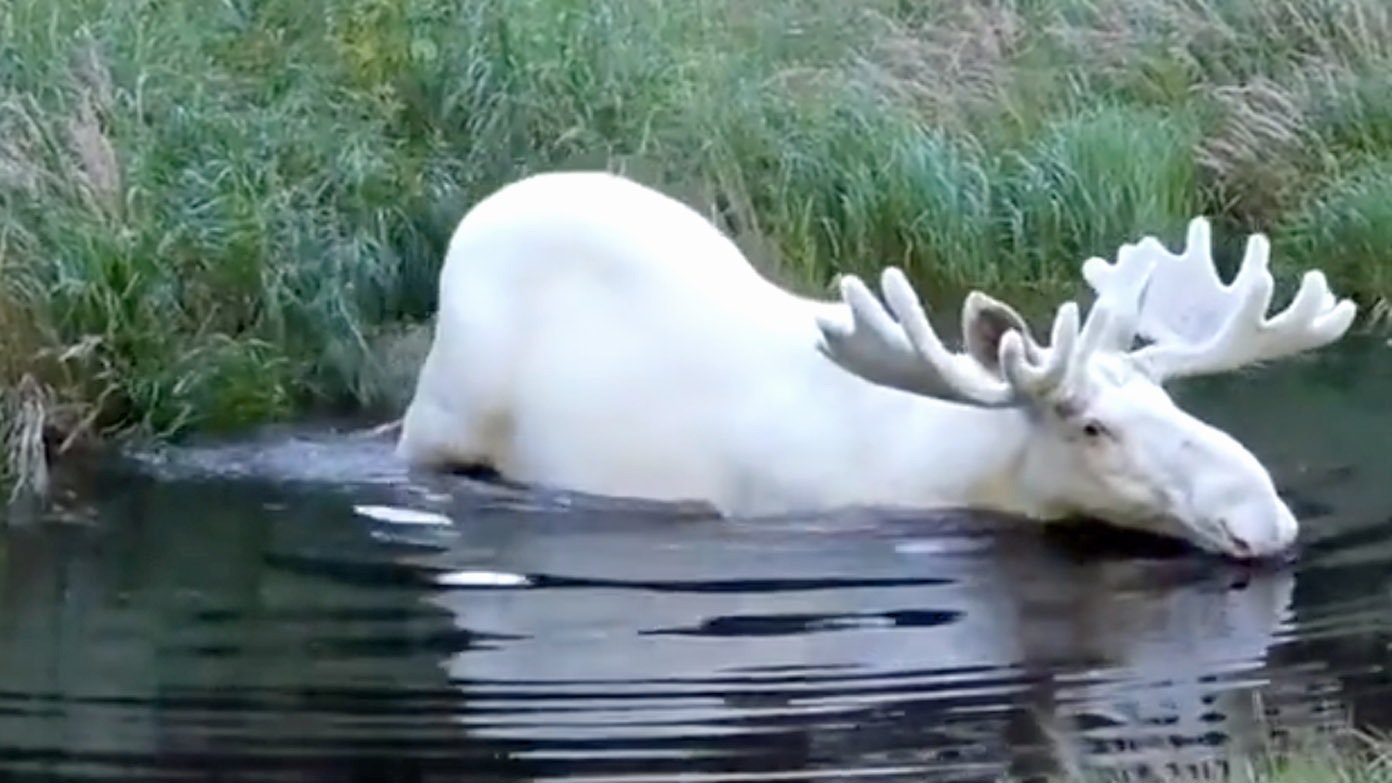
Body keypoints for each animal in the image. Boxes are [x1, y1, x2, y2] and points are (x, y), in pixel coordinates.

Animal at [394, 170, 1357, 561]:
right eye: (1091, 425)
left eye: (1170, 399)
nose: (1263, 517)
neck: (973, 468)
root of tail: (479, 213)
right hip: (436, 418)